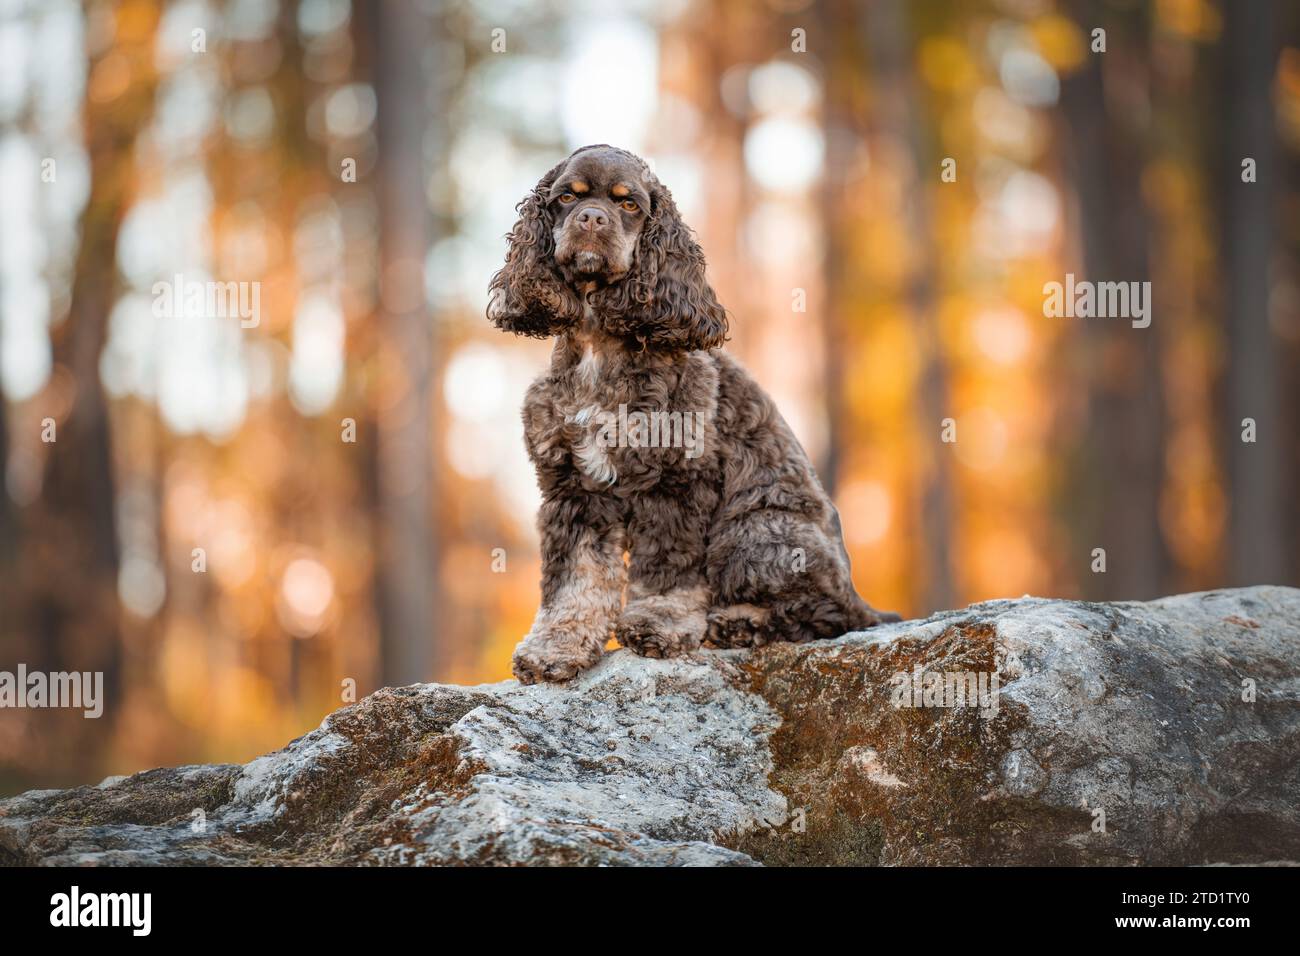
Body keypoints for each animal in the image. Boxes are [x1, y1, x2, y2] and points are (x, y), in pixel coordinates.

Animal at [488, 141, 894, 686]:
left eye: (629, 204)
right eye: (566, 198)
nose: (592, 218)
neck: (599, 346)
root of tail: (860, 593)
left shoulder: (678, 480)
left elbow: (669, 568)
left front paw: (660, 622)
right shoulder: (573, 488)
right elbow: (575, 577)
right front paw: (556, 646)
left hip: (753, 531)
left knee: (825, 613)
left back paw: (738, 622)